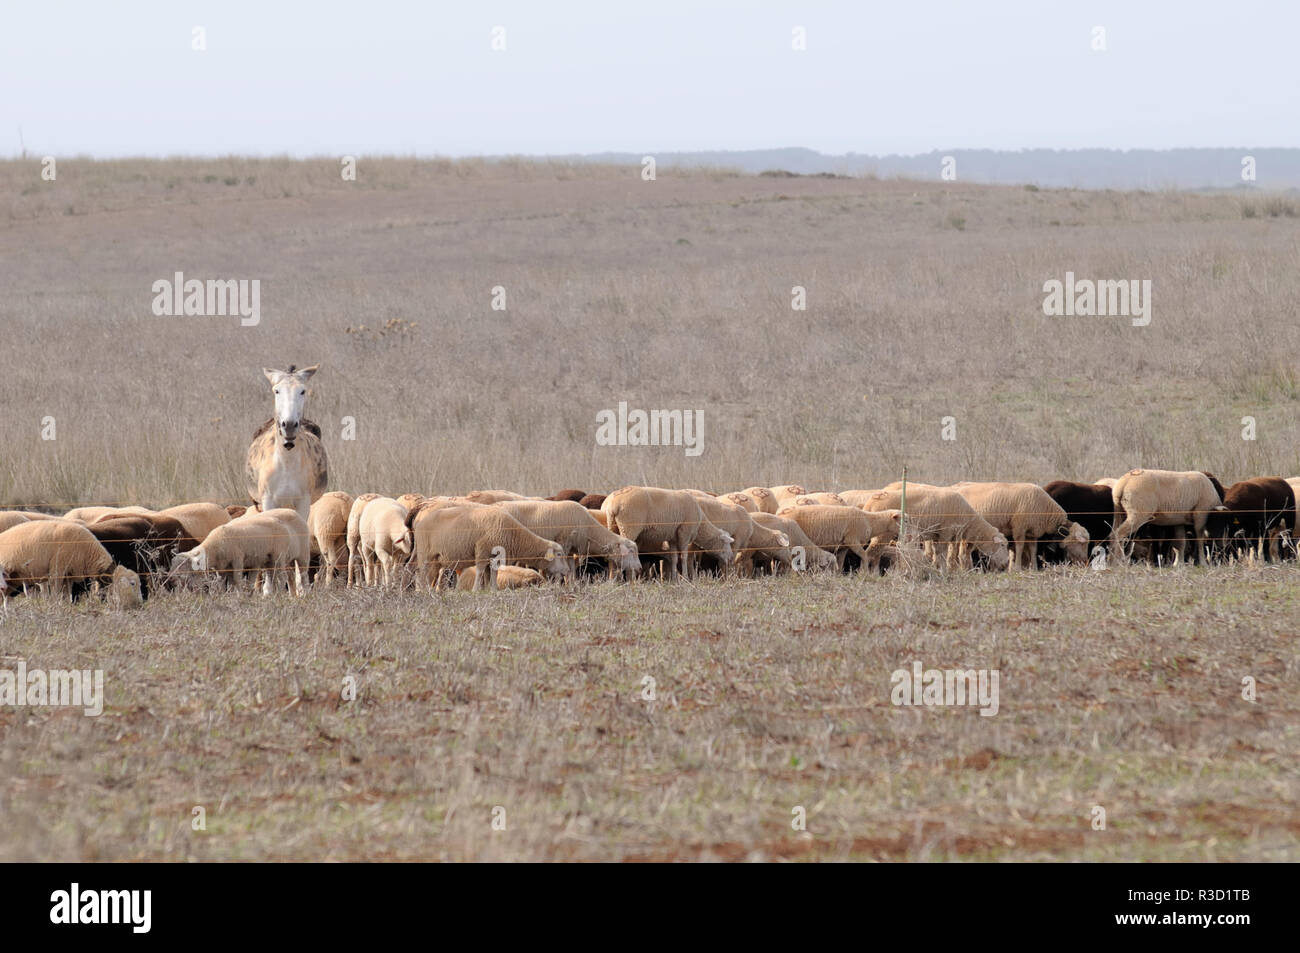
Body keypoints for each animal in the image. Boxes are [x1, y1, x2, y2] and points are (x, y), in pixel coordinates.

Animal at [0, 517, 143, 605]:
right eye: (132, 584)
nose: (140, 603)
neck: (88, 551)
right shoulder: (57, 570)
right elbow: (56, 594)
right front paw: (55, 608)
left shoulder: (68, 575)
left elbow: (66, 596)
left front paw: (65, 606)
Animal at [413, 504, 572, 587]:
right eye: (559, 554)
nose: (567, 571)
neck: (514, 533)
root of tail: (420, 521)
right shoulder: (482, 550)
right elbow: (480, 571)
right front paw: (476, 590)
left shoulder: (494, 557)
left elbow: (492, 574)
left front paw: (492, 589)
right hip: (424, 553)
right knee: (421, 573)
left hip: (436, 558)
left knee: (430, 575)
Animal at [491, 499, 639, 579]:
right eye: (631, 551)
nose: (639, 567)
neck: (589, 530)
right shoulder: (564, 543)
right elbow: (562, 567)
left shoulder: (571, 549)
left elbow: (570, 570)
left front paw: (572, 586)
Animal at [598, 483, 733, 579]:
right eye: (726, 543)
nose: (731, 558)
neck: (701, 524)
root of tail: (615, 504)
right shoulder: (684, 533)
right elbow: (683, 556)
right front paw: (685, 578)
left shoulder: (673, 537)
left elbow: (674, 558)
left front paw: (674, 579)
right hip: (629, 526)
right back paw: (630, 579)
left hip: (613, 524)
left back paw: (614, 579)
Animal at [951, 478, 1092, 569]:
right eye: (1081, 543)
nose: (1085, 562)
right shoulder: (1019, 528)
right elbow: (1020, 547)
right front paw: (1017, 567)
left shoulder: (1032, 532)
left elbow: (1033, 549)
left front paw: (1033, 568)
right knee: (961, 552)